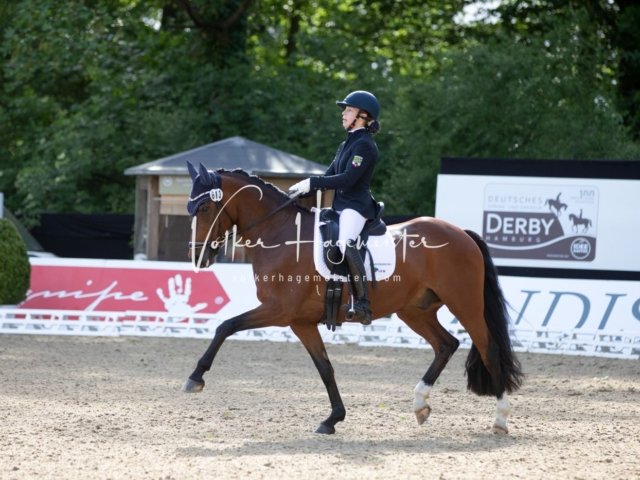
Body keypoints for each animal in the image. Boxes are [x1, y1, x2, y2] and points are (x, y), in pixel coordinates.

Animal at [183, 162, 523, 435]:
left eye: (204, 209)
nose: (197, 257)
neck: (281, 235)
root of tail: (462, 233)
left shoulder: (278, 311)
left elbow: (225, 326)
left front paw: (195, 378)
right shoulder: (301, 322)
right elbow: (325, 368)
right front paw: (332, 419)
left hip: (465, 304)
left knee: (488, 349)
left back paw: (500, 420)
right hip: (415, 311)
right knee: (446, 344)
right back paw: (420, 404)